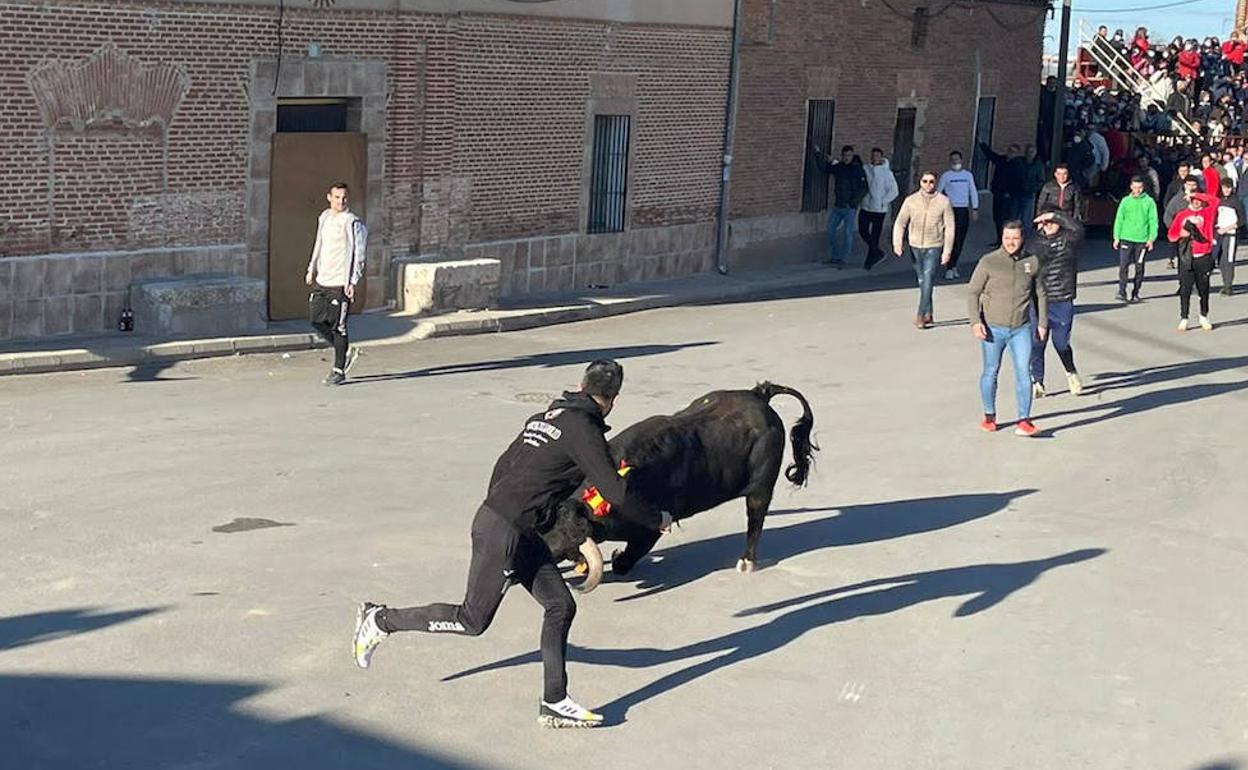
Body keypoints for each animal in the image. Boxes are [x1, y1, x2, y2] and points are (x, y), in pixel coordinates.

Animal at [539, 379, 813, 589]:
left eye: (565, 538)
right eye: (546, 529)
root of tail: (759, 394)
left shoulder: (649, 532)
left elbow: (628, 559)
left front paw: (617, 559)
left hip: (761, 486)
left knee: (755, 519)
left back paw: (747, 562)